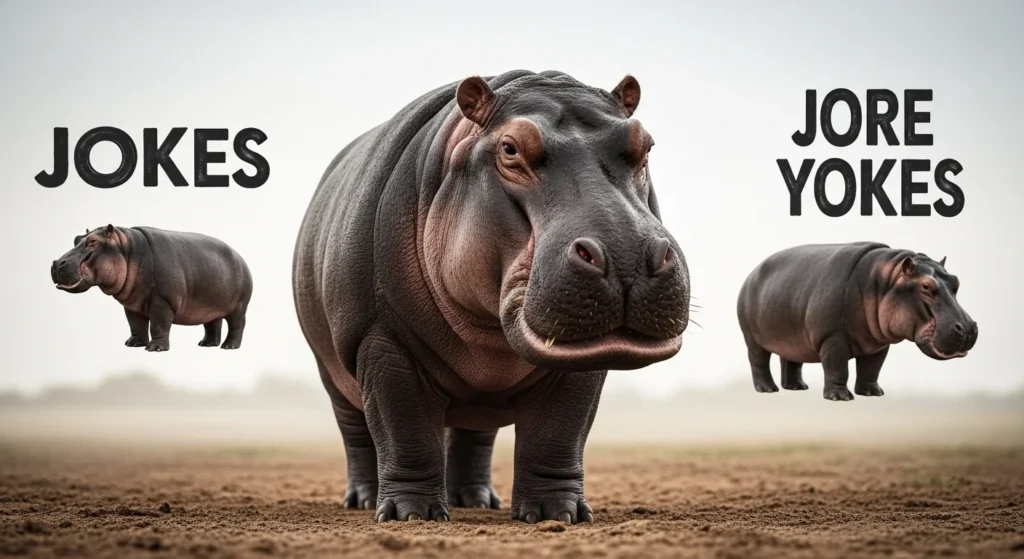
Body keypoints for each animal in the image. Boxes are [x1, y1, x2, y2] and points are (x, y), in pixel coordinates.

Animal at [51, 224, 253, 352]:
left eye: (93, 241)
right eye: (76, 238)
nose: (57, 263)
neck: (127, 250)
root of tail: (240, 256)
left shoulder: (162, 301)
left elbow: (158, 325)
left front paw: (155, 349)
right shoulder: (131, 304)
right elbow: (136, 325)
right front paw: (132, 345)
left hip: (239, 307)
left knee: (237, 325)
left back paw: (229, 346)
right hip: (211, 305)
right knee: (213, 324)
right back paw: (206, 344)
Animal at [292, 70, 691, 524]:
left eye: (645, 144)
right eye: (510, 148)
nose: (625, 256)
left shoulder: (579, 360)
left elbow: (559, 433)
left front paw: (557, 514)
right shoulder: (382, 340)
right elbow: (405, 428)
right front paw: (413, 515)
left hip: (478, 396)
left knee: (474, 435)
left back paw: (476, 500)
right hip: (333, 373)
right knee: (357, 433)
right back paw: (363, 499)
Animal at [736, 242, 978, 401]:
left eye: (956, 281)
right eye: (926, 286)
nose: (967, 328)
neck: (885, 280)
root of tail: (751, 273)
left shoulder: (878, 344)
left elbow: (872, 369)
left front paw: (872, 393)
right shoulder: (832, 338)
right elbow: (838, 367)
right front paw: (841, 397)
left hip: (792, 338)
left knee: (791, 360)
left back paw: (798, 387)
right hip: (752, 338)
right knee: (758, 361)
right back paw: (768, 389)